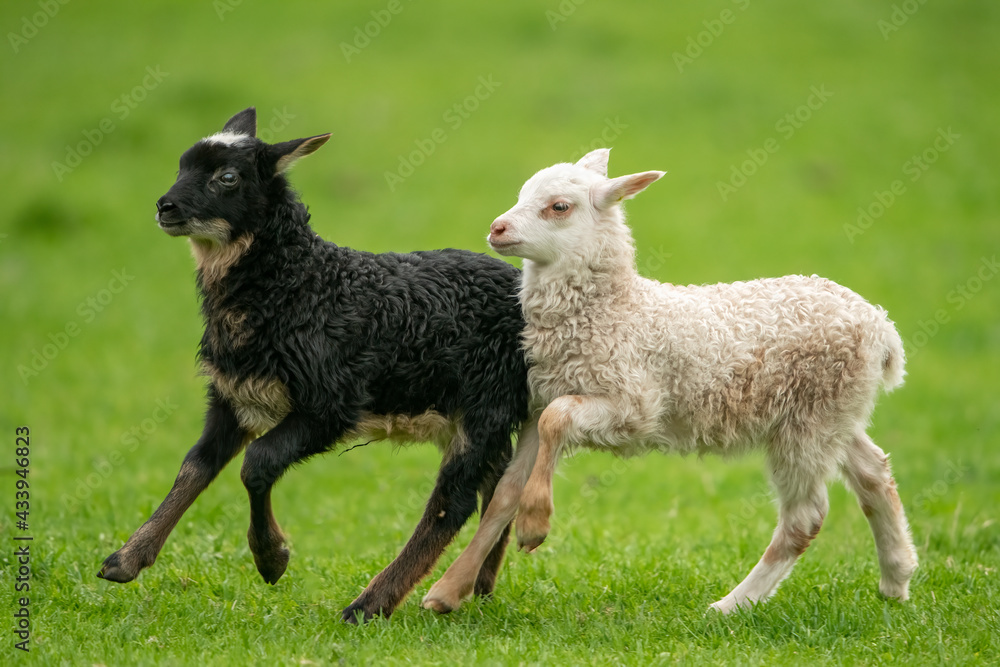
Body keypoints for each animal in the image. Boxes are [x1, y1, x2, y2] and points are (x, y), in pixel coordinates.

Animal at [97, 107, 534, 623]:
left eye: (227, 177)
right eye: (182, 166)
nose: (165, 207)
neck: (298, 285)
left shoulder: (331, 403)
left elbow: (257, 463)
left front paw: (271, 559)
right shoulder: (233, 397)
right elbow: (194, 466)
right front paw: (125, 560)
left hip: (483, 403)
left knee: (452, 502)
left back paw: (370, 604)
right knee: (497, 481)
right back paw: (479, 584)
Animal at [422, 148, 917, 615]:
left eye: (559, 206)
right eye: (523, 193)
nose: (497, 229)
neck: (619, 311)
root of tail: (881, 326)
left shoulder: (632, 406)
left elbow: (557, 423)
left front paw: (534, 524)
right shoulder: (542, 400)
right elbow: (504, 493)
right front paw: (448, 589)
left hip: (808, 419)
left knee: (805, 518)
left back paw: (732, 606)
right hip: (835, 412)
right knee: (874, 471)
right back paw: (897, 578)